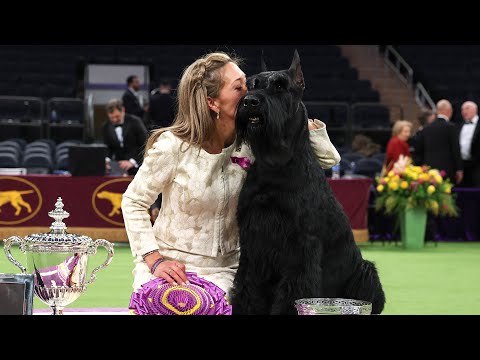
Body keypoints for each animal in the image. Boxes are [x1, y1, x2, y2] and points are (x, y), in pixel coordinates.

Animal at [230, 50, 386, 316]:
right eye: (251, 85)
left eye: (280, 86)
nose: (249, 101)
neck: (275, 162)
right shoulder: (252, 241)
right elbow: (247, 284)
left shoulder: (301, 245)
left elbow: (296, 288)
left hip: (367, 272)